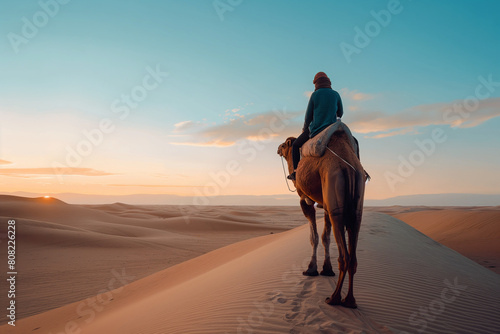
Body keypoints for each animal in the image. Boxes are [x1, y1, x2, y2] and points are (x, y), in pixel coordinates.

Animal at [276, 129, 366, 308]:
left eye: (284, 144)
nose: (277, 148)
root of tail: (349, 167)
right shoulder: (324, 205)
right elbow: (325, 237)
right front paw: (326, 269)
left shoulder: (305, 200)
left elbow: (314, 237)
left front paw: (311, 269)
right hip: (356, 206)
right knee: (353, 256)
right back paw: (350, 301)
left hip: (334, 193)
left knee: (345, 256)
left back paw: (334, 298)